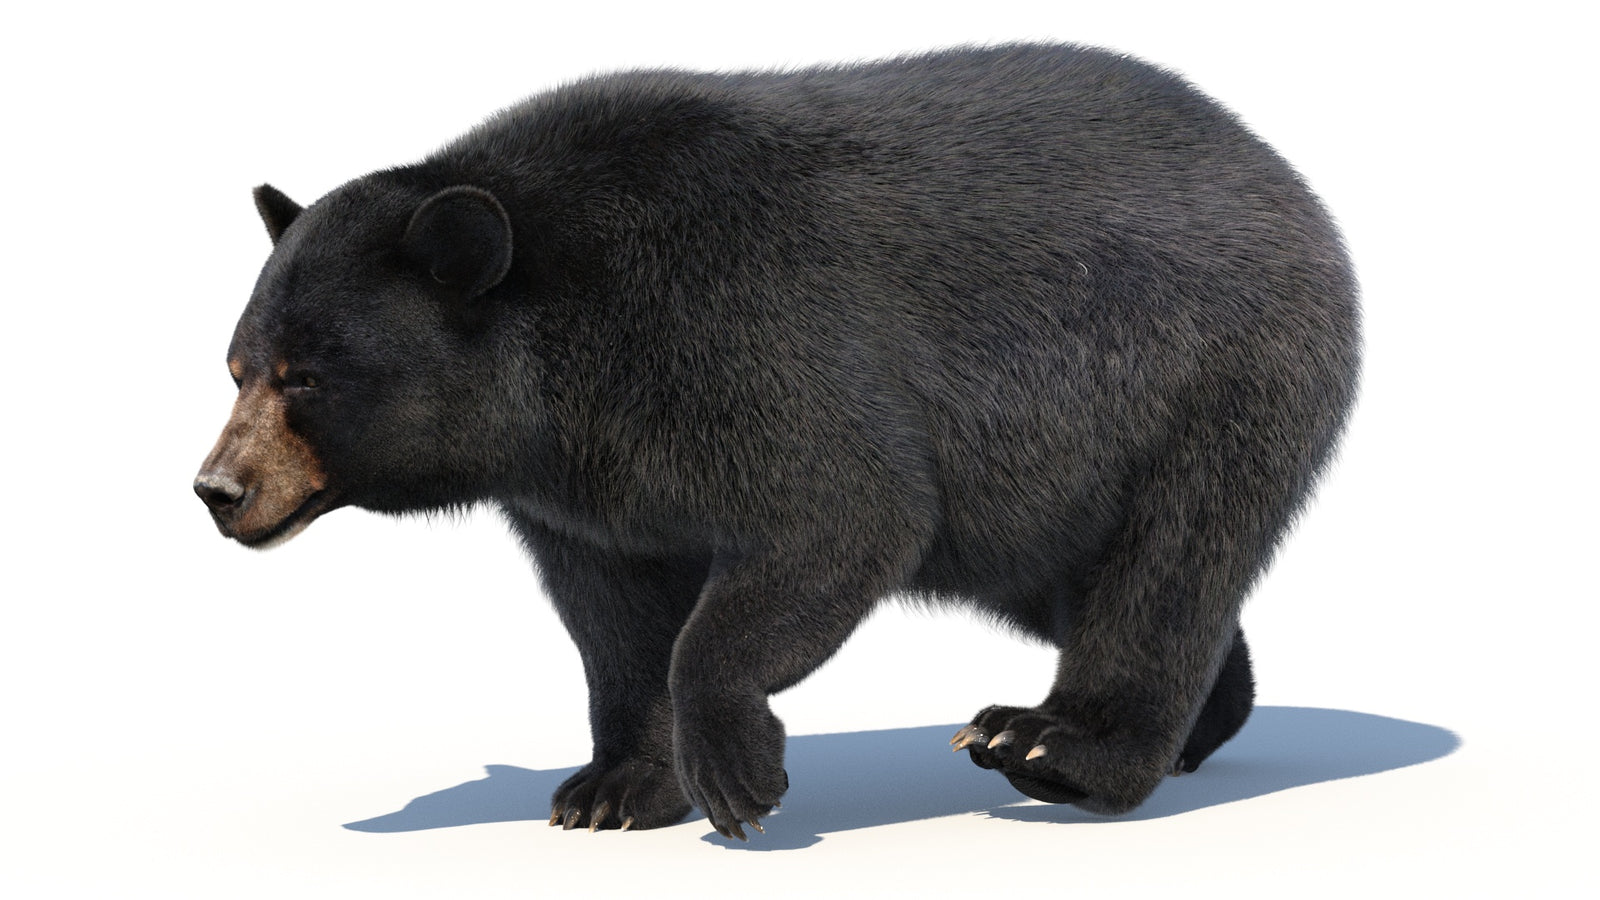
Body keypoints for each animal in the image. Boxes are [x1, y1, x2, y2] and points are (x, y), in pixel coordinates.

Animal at [195, 43, 1360, 840]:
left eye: (307, 375)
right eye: (239, 365)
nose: (217, 489)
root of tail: (1283, 175)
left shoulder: (740, 336)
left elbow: (842, 513)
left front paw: (737, 778)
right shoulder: (581, 485)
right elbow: (614, 619)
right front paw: (615, 787)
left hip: (1206, 380)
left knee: (1170, 560)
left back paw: (1053, 744)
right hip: (1044, 501)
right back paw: (1200, 721)